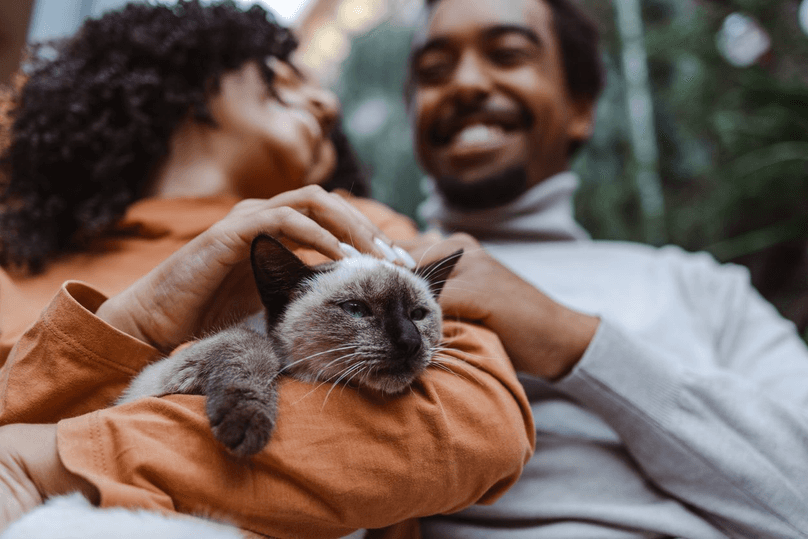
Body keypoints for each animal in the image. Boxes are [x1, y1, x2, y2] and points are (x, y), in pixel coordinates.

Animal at [117, 234, 464, 458]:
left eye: (417, 315)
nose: (410, 342)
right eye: (356, 309)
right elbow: (250, 343)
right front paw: (247, 422)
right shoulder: (152, 380)